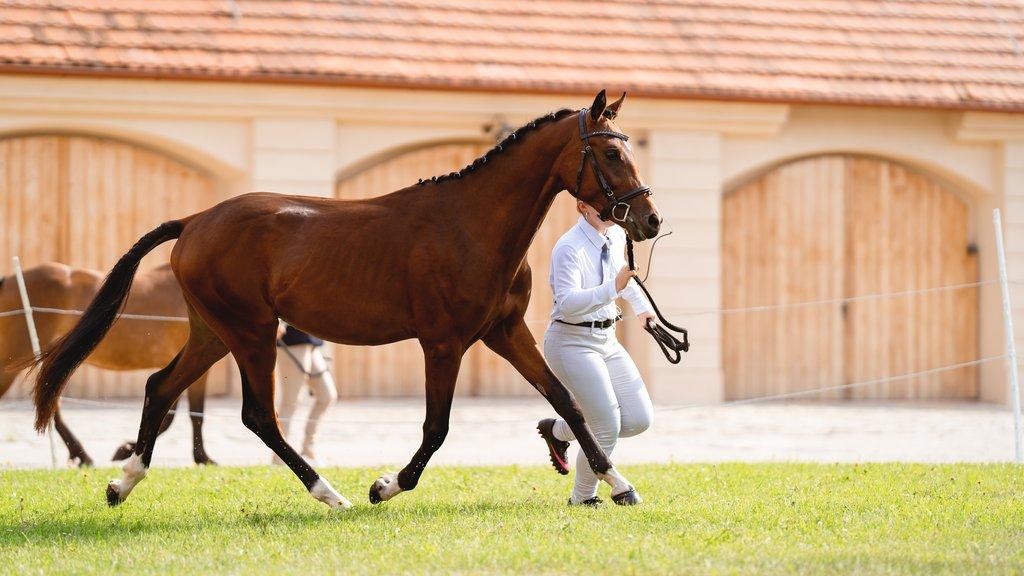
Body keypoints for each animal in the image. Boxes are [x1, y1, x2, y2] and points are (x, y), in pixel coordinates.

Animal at [30, 90, 662, 509]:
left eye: (628, 148)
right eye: (610, 154)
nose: (650, 220)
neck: (471, 225)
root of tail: (194, 222)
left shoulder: (504, 332)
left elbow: (568, 402)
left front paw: (621, 485)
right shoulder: (444, 343)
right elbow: (437, 426)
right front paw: (385, 485)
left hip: (214, 332)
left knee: (161, 386)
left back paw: (121, 483)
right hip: (251, 332)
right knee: (258, 415)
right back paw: (330, 493)